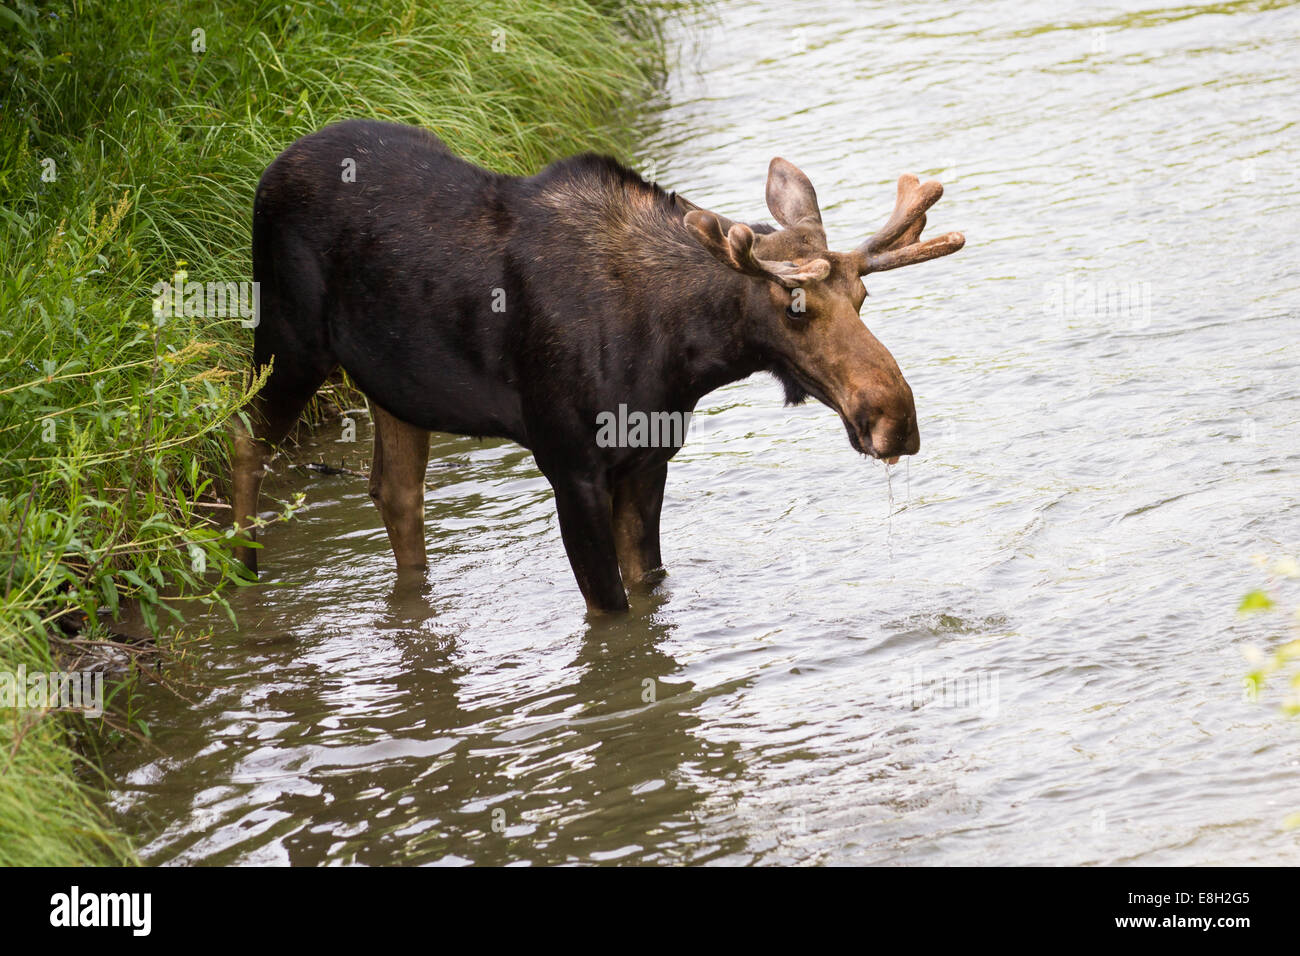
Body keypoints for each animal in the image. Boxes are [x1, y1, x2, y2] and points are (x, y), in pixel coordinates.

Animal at [231, 119, 964, 613]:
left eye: (863, 297)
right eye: (794, 307)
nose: (895, 419)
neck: (685, 353)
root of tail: (269, 170)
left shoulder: (649, 459)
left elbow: (649, 585)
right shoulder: (569, 465)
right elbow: (611, 611)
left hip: (396, 386)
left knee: (395, 491)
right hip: (288, 341)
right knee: (244, 438)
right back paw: (241, 570)